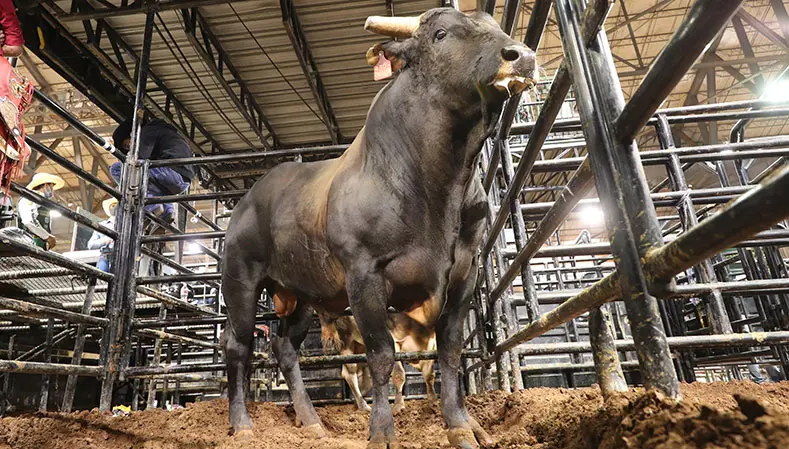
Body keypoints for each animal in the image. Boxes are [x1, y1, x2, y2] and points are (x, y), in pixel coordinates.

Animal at [221, 7, 536, 449]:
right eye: (441, 34)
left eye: (495, 27)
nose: (521, 55)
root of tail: (251, 195)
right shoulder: (365, 274)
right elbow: (382, 355)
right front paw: (382, 431)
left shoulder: (464, 272)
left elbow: (450, 352)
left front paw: (461, 425)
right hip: (240, 280)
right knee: (238, 345)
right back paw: (243, 424)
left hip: (301, 294)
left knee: (284, 348)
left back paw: (312, 421)